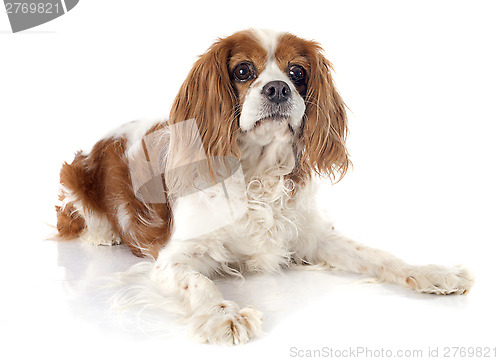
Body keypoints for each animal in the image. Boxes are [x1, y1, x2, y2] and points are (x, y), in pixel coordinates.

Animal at [54, 28, 472, 344]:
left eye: (297, 72)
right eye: (243, 70)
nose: (277, 89)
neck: (258, 172)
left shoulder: (314, 237)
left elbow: (380, 255)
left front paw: (432, 272)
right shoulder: (173, 258)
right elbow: (198, 282)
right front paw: (224, 316)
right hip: (72, 174)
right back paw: (103, 234)